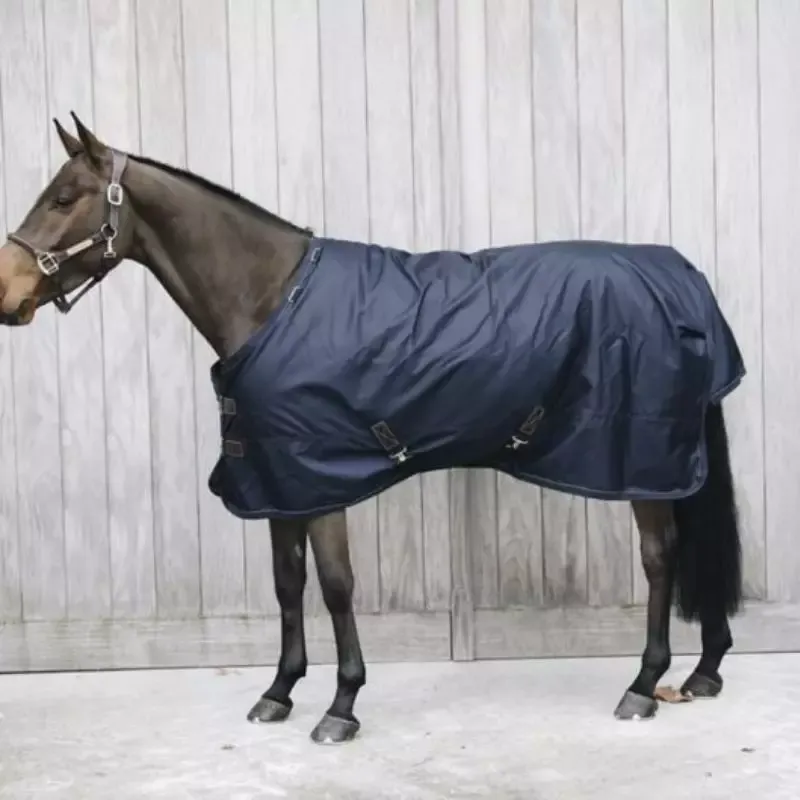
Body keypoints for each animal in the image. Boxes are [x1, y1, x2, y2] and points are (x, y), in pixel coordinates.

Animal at [0, 114, 744, 745]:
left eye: (65, 198)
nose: (7, 295)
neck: (272, 298)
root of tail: (682, 278)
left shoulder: (321, 478)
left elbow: (335, 586)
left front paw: (341, 705)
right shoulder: (278, 481)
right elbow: (288, 583)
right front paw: (278, 692)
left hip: (642, 461)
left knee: (661, 558)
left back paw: (644, 684)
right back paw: (703, 671)